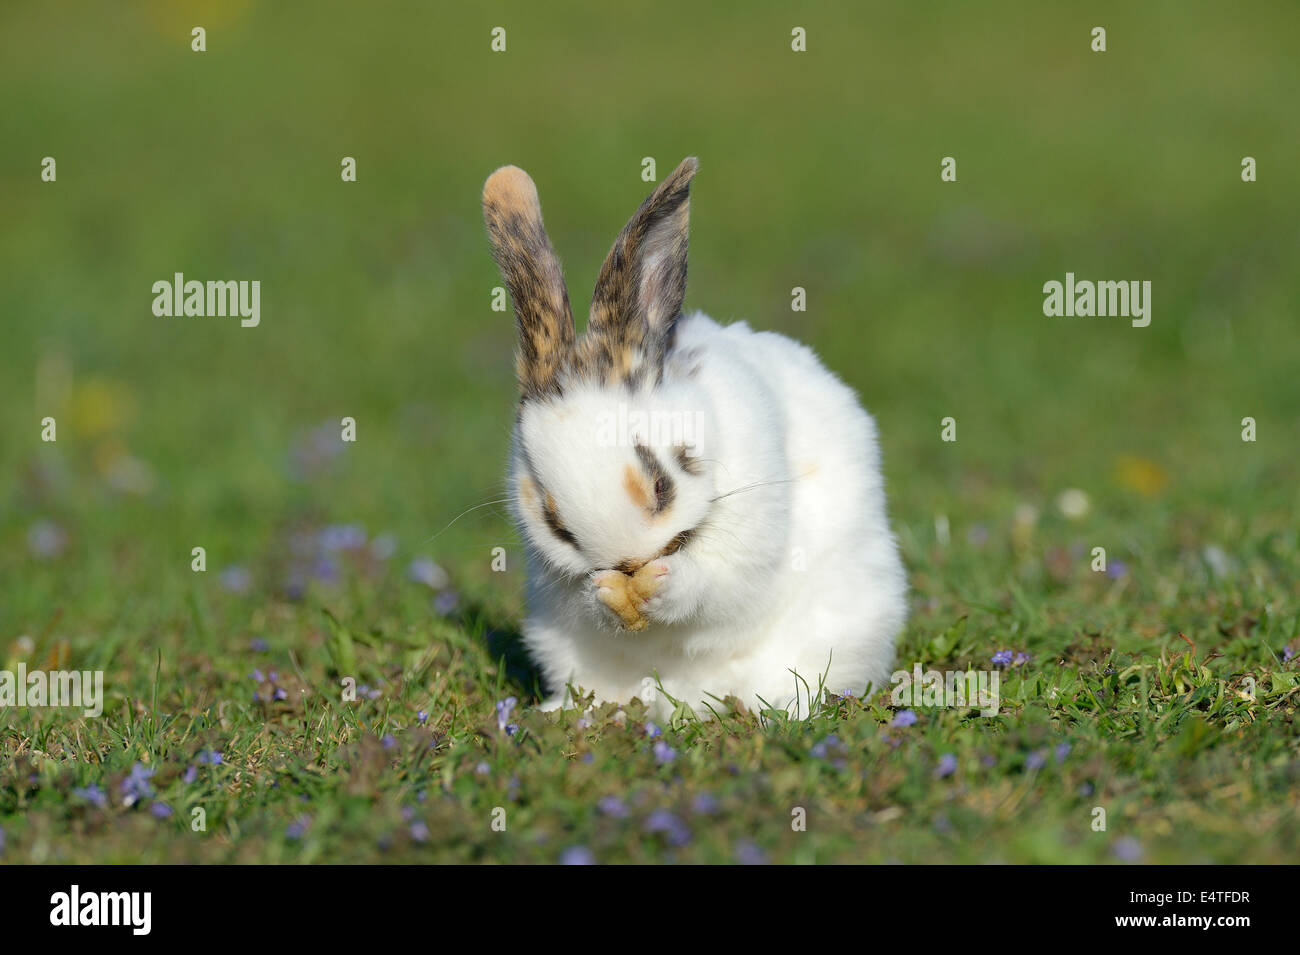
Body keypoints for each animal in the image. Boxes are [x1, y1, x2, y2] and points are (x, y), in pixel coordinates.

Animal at [483, 158, 909, 717]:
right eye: (556, 525)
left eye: (662, 486)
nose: (628, 564)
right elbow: (583, 601)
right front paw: (606, 595)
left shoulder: (748, 546)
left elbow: (714, 587)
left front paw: (664, 586)